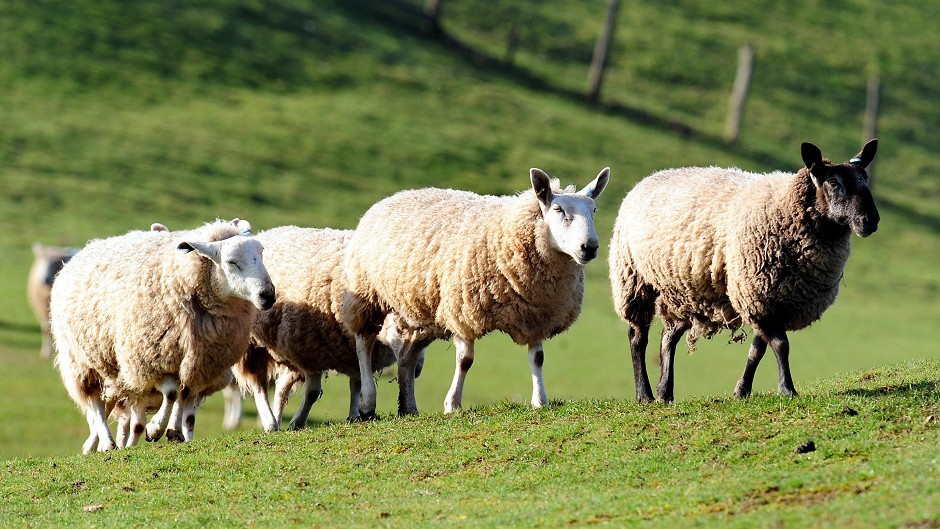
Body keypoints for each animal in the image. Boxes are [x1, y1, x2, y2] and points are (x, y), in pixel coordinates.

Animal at [50, 219, 276, 454]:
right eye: (231, 262)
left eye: (261, 254)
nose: (268, 296)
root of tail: (87, 247)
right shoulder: (152, 360)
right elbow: (171, 394)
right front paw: (155, 428)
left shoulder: (198, 364)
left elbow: (183, 398)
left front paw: (174, 432)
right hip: (81, 362)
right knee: (95, 403)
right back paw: (107, 442)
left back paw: (94, 444)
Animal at [235, 225, 426, 426]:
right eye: (399, 329)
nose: (418, 370)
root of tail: (266, 232)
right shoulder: (309, 352)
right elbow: (313, 392)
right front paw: (298, 422)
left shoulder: (351, 354)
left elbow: (356, 386)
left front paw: (354, 416)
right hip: (253, 346)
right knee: (258, 384)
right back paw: (270, 422)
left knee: (281, 387)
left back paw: (278, 418)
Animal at [342, 167, 612, 418]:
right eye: (558, 210)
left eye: (594, 210)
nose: (589, 247)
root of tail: (391, 197)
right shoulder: (462, 309)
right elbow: (465, 361)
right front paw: (452, 404)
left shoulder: (535, 314)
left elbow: (537, 358)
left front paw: (540, 400)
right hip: (366, 294)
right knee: (364, 344)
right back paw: (367, 403)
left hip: (421, 311)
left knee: (407, 357)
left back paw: (408, 407)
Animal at [608, 138, 880, 402]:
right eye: (833, 182)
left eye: (865, 180)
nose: (871, 220)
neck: (784, 208)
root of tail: (646, 180)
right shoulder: (759, 294)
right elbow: (781, 344)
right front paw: (787, 389)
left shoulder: (772, 299)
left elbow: (757, 350)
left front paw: (742, 391)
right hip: (633, 278)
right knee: (637, 337)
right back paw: (645, 394)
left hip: (681, 292)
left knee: (668, 337)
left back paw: (665, 392)